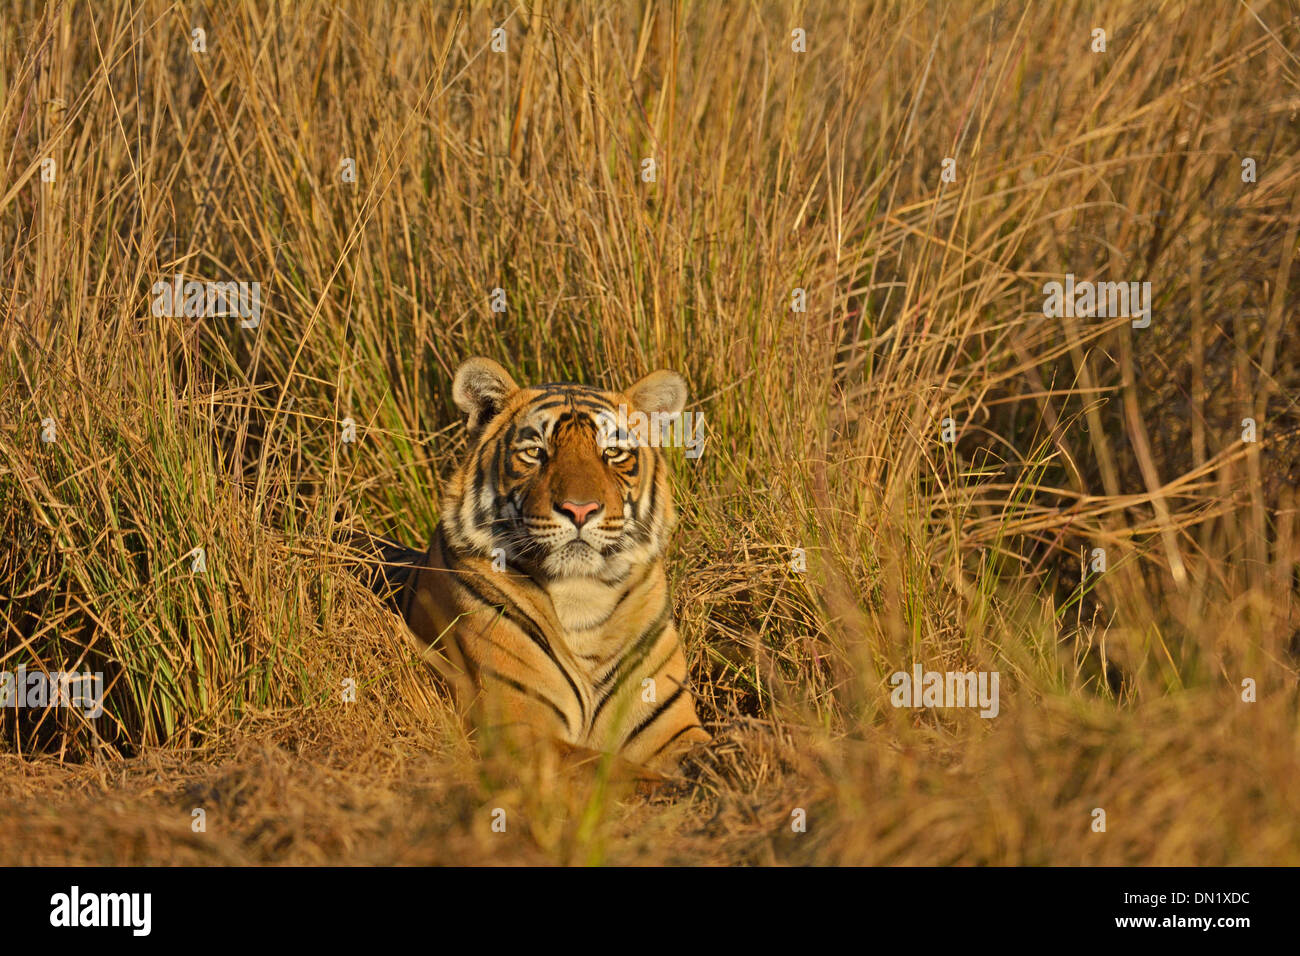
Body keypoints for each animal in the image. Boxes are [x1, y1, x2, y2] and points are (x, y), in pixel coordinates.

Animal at [361, 356, 712, 775]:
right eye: (535, 453)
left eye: (612, 453)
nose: (580, 509)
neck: (583, 596)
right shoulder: (520, 732)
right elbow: (618, 773)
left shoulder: (674, 730)